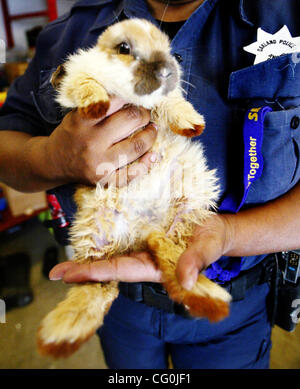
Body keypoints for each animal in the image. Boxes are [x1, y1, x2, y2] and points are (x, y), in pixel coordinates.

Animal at [36, 18, 231, 358]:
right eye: (124, 47)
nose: (162, 70)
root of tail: (145, 229)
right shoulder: (79, 76)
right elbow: (85, 85)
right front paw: (97, 106)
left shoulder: (164, 98)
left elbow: (171, 103)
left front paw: (192, 124)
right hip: (94, 235)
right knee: (97, 287)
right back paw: (62, 334)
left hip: (188, 200)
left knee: (170, 253)